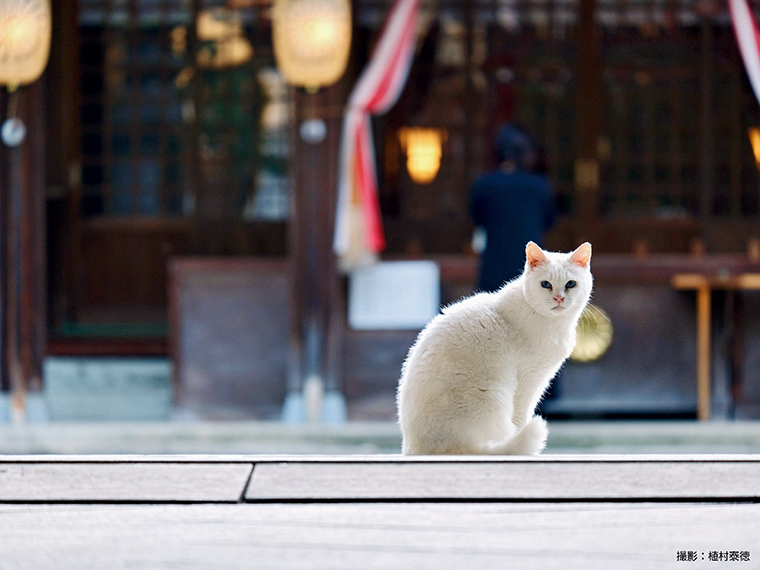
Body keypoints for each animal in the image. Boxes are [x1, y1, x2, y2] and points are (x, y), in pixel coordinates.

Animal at [398, 240, 592, 452]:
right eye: (546, 284)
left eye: (570, 284)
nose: (559, 298)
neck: (555, 325)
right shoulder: (528, 383)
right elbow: (521, 420)